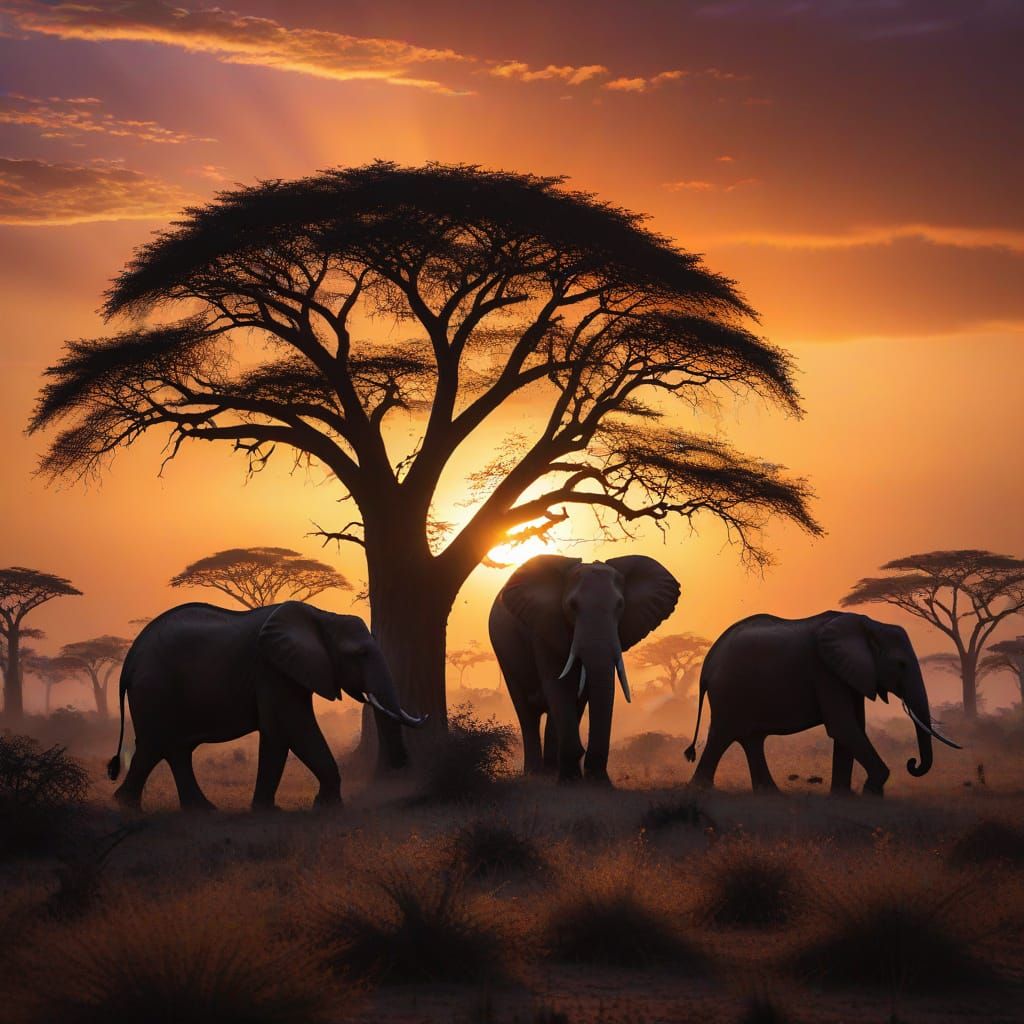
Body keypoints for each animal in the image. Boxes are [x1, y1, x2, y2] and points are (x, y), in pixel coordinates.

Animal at [106, 601, 426, 811]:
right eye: (359, 654)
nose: (401, 765)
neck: (322, 616)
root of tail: (129, 660)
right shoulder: (272, 670)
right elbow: (290, 729)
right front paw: (322, 807)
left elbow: (283, 733)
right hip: (155, 688)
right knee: (156, 744)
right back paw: (129, 807)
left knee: (172, 749)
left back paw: (199, 810)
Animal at [489, 554, 680, 783]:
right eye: (572, 606)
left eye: (620, 605)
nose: (597, 775)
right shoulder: (544, 627)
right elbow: (559, 684)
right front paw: (571, 780)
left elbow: (583, 691)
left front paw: (589, 780)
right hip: (504, 652)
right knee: (526, 711)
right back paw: (535, 774)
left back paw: (551, 771)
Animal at [684, 610, 960, 795]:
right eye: (901, 664)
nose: (912, 763)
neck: (868, 624)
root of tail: (707, 664)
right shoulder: (826, 672)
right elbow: (843, 727)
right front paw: (871, 791)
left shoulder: (847, 674)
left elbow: (853, 728)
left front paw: (843, 797)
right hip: (729, 691)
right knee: (723, 736)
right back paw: (700, 790)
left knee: (751, 739)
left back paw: (771, 795)